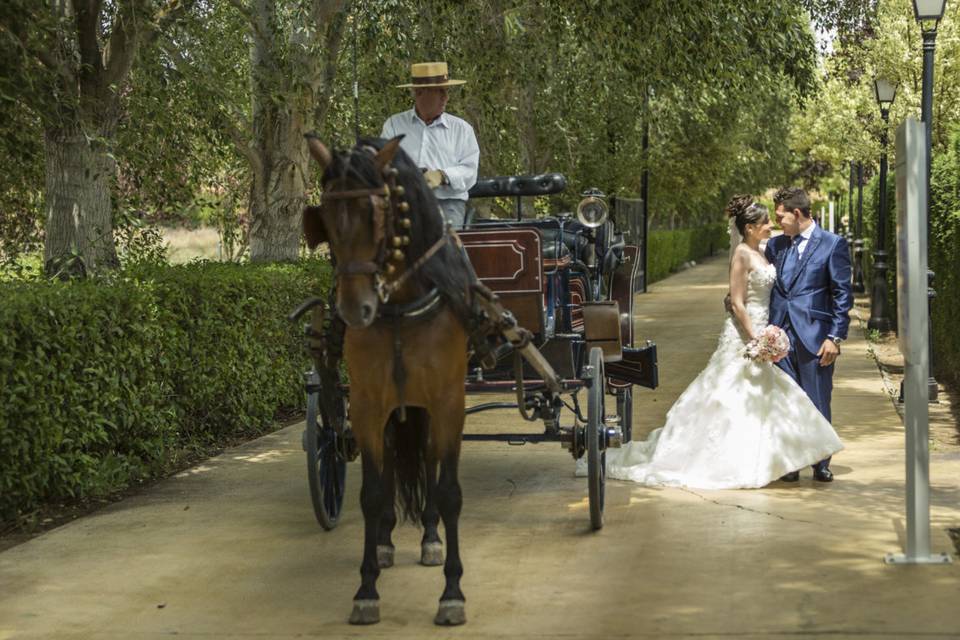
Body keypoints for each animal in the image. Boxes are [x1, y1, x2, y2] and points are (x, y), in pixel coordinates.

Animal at [302, 134, 474, 624]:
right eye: (324, 217)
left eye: (377, 213)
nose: (353, 309)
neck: (400, 304)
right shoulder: (367, 404)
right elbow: (373, 493)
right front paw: (366, 588)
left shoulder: (448, 403)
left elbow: (448, 490)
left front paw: (452, 591)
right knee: (399, 461)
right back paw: (385, 542)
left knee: (429, 461)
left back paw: (431, 537)